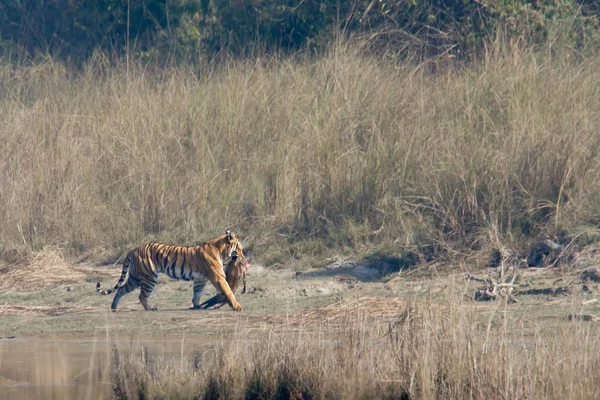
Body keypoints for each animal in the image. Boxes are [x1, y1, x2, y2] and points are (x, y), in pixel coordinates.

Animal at [96, 230, 244, 310]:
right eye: (239, 248)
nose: (243, 257)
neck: (222, 250)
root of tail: (134, 249)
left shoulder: (199, 280)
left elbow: (197, 294)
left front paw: (197, 306)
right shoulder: (218, 277)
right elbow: (228, 291)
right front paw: (238, 307)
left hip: (135, 277)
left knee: (121, 289)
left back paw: (114, 307)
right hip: (149, 277)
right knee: (141, 296)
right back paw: (150, 309)